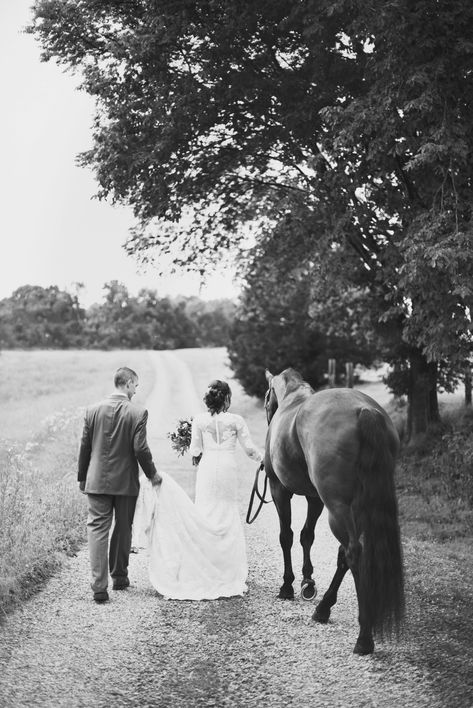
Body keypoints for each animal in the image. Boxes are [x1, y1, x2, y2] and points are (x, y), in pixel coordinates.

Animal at [264, 368, 404, 656]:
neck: (293, 398)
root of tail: (364, 411)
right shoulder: (314, 498)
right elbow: (306, 535)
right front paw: (307, 583)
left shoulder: (278, 489)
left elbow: (287, 536)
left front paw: (288, 585)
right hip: (356, 505)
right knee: (345, 553)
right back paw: (323, 608)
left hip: (337, 506)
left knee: (352, 552)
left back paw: (364, 637)